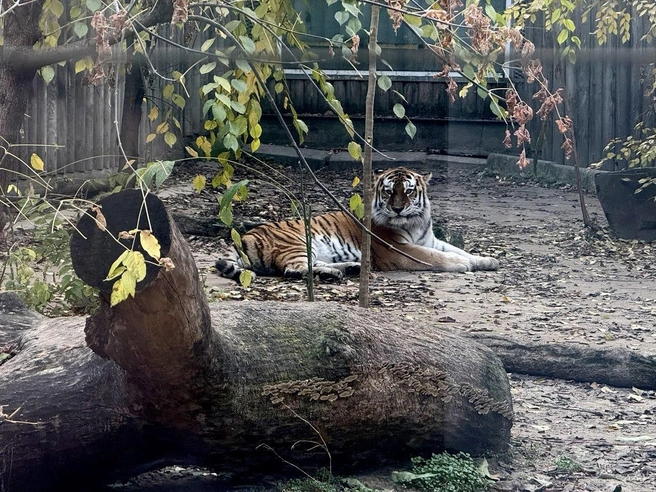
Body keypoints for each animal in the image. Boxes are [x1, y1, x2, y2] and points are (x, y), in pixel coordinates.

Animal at [214, 167, 499, 281]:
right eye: (388, 191)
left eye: (408, 191)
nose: (397, 208)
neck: (415, 223)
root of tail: (244, 235)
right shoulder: (398, 249)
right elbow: (435, 257)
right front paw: (462, 264)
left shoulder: (432, 240)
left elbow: (457, 249)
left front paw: (486, 261)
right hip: (297, 242)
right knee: (293, 270)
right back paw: (334, 274)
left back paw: (350, 268)